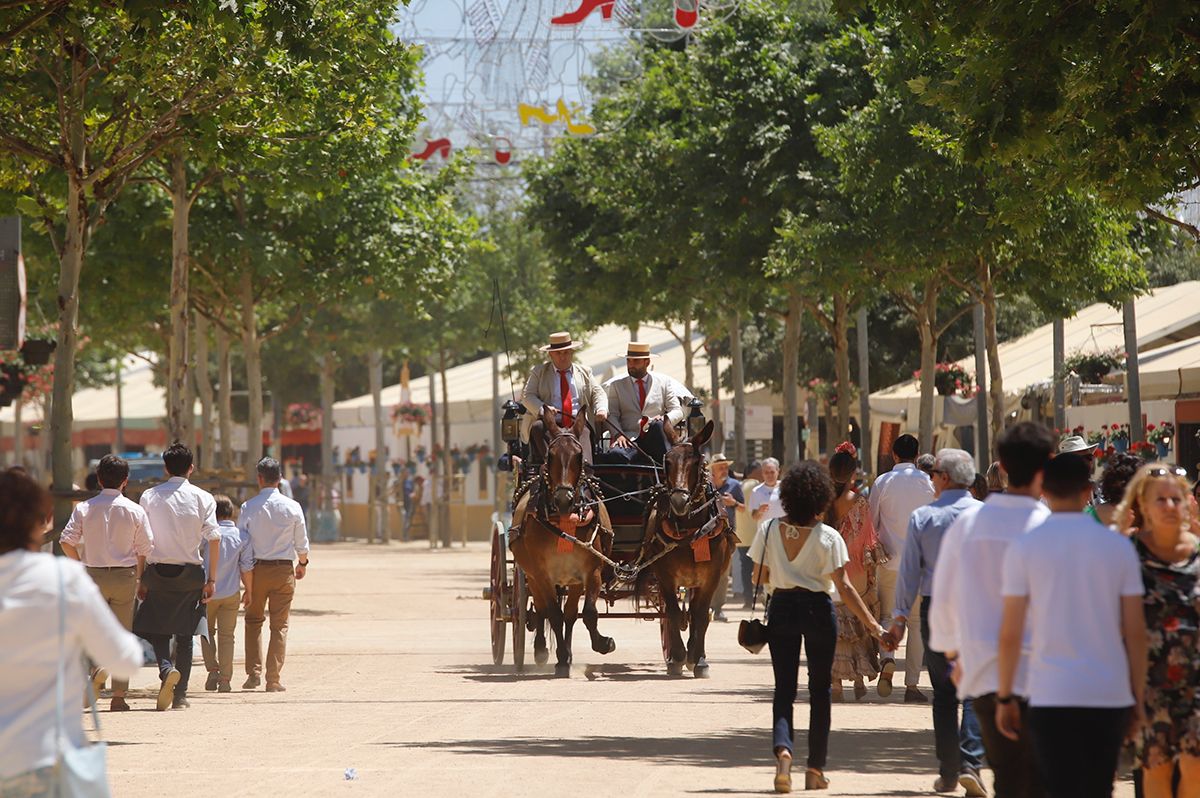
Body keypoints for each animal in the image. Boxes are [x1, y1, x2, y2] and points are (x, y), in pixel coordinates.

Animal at [508, 408, 619, 676]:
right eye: (550, 455)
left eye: (580, 456)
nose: (564, 499)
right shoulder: (542, 574)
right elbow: (554, 615)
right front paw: (558, 659)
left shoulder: (590, 571)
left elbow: (585, 614)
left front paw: (601, 644)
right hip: (532, 577)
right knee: (540, 609)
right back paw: (541, 649)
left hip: (571, 580)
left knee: (569, 613)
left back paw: (566, 653)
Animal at [643, 420, 734, 676]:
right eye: (667, 462)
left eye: (697, 462)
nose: (679, 501)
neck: (690, 530)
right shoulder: (665, 577)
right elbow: (672, 612)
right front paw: (677, 656)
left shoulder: (710, 577)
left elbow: (701, 614)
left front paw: (698, 659)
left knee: (694, 611)